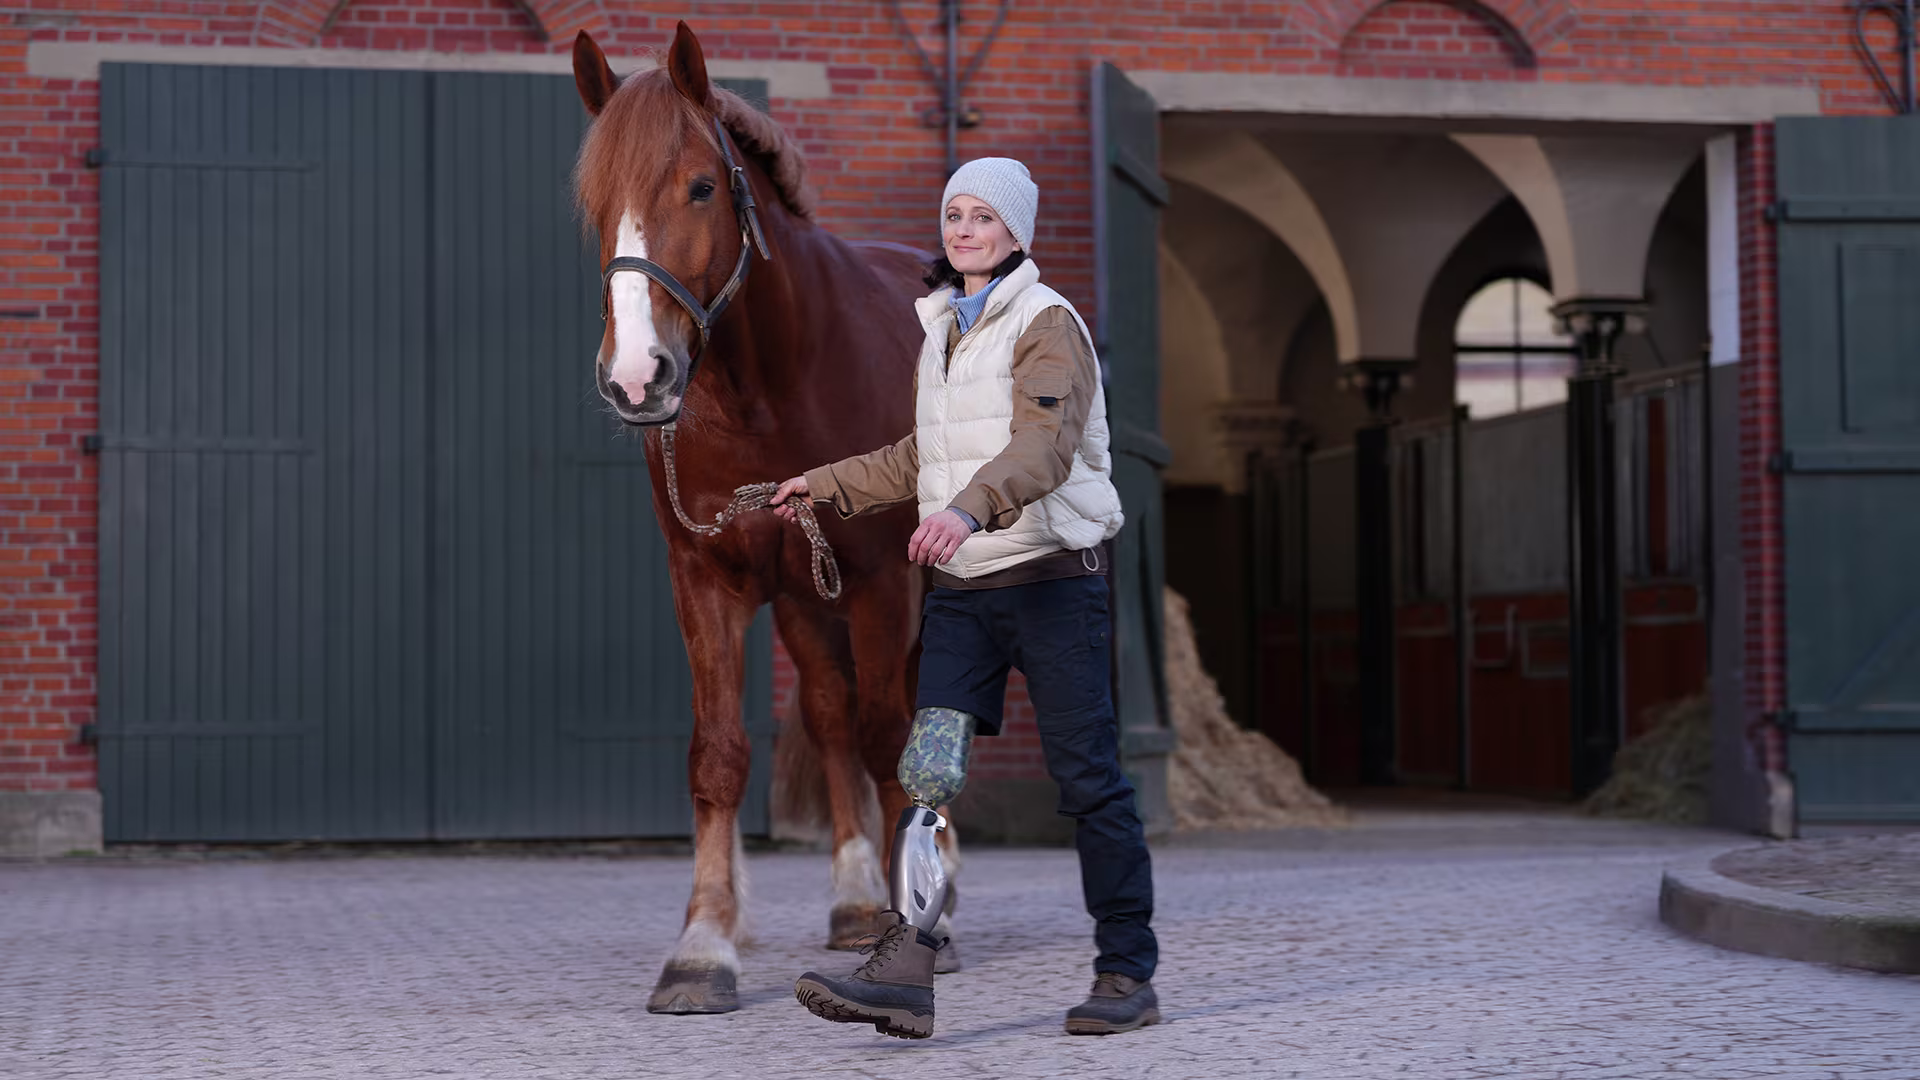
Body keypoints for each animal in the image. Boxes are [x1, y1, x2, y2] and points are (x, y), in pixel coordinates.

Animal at [570, 23, 949, 1014]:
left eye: (702, 186)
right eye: (593, 203)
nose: (637, 377)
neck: (771, 392)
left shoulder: (884, 582)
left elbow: (890, 737)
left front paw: (906, 927)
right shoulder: (710, 579)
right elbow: (721, 754)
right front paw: (702, 950)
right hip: (805, 598)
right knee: (826, 710)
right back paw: (854, 901)